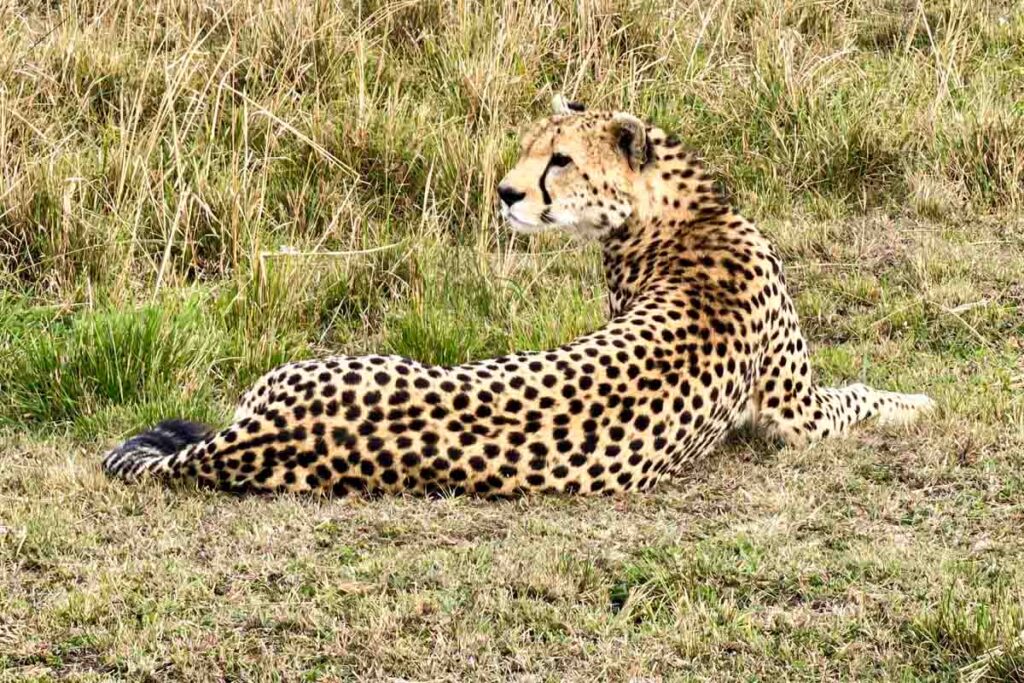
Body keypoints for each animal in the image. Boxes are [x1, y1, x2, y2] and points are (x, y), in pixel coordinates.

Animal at [102, 95, 935, 497]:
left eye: (560, 159)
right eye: (533, 151)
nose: (504, 193)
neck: (678, 216)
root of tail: (256, 435)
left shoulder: (797, 410)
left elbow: (859, 391)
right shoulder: (799, 415)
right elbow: (861, 394)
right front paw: (920, 401)